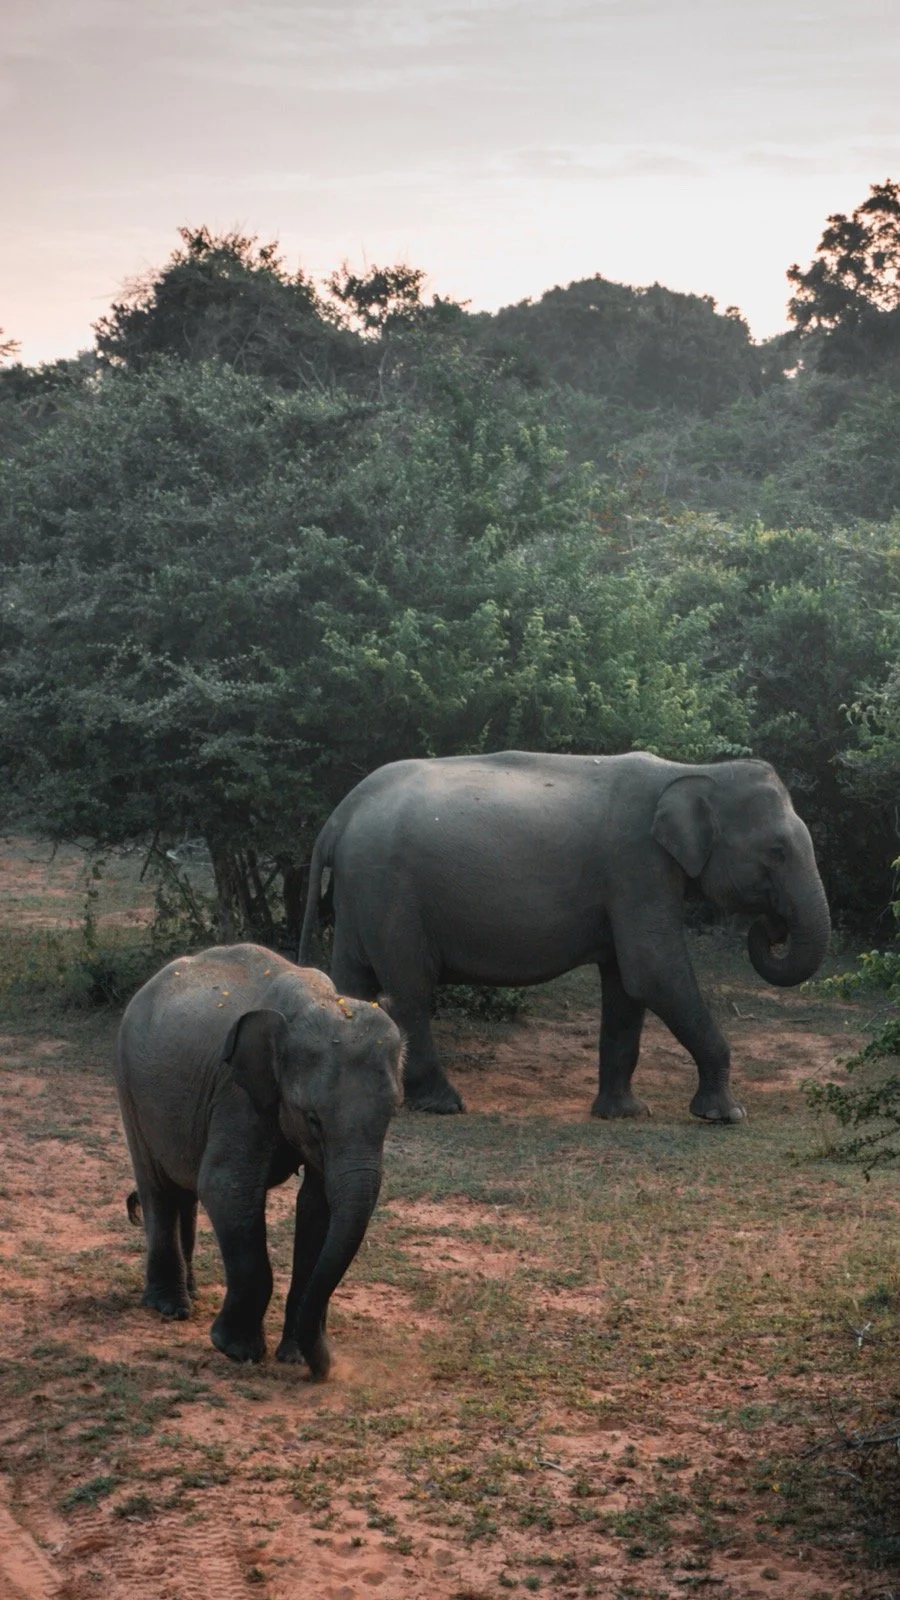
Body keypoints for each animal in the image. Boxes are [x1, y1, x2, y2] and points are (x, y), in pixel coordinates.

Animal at [115, 943, 403, 1376]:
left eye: (393, 1113)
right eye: (313, 1119)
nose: (326, 1370)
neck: (314, 1000)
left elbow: (317, 1206)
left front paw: (295, 1355)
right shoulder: (237, 1093)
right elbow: (227, 1188)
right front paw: (237, 1350)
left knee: (183, 1188)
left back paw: (190, 1292)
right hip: (129, 1083)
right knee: (158, 1187)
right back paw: (170, 1306)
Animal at [298, 751, 830, 1121]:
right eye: (777, 851)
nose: (771, 927)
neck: (693, 771)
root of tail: (341, 813)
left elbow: (627, 985)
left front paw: (624, 1114)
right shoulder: (636, 864)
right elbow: (653, 972)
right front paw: (727, 1114)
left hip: (361, 891)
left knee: (353, 981)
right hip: (391, 890)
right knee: (409, 990)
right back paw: (444, 1104)